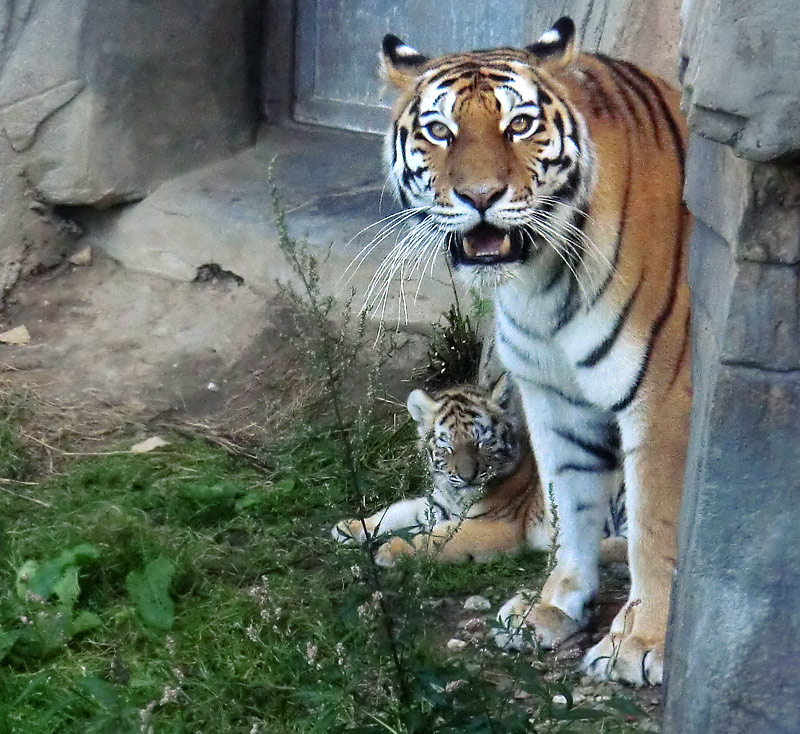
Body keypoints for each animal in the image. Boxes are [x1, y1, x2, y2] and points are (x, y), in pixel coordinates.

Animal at [378, 14, 692, 688]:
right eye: (439, 131)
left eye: (518, 125)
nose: (480, 196)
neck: (542, 283)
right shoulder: (556, 398)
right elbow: (568, 504)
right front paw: (553, 609)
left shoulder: (663, 398)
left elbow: (655, 527)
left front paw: (640, 643)